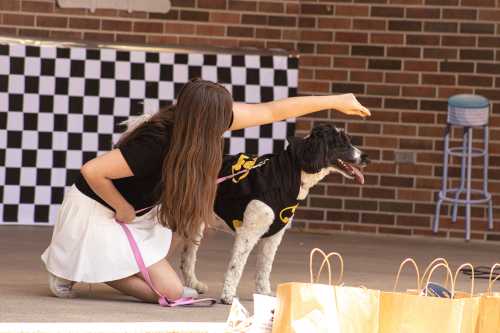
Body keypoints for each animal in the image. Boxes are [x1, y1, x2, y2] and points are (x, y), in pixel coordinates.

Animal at [180, 123, 368, 302]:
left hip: (195, 224)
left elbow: (265, 267)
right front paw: (228, 296)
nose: (366, 157)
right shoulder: (248, 233)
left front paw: (263, 292)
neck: (290, 174)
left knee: (187, 256)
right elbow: (236, 267)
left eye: (348, 140)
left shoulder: (274, 235)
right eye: (340, 142)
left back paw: (193, 284)